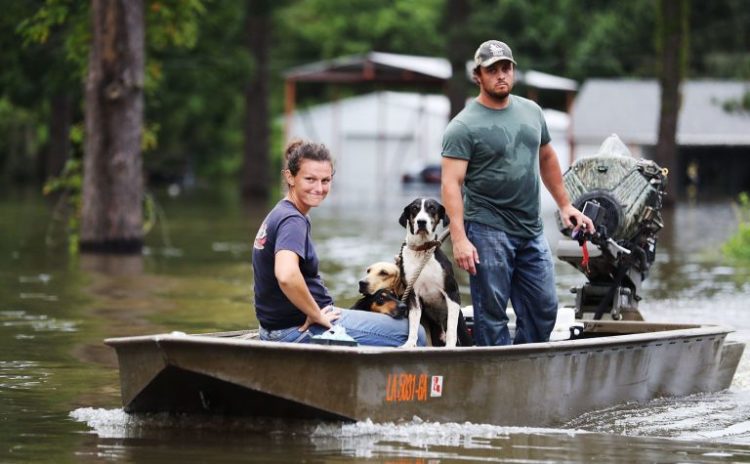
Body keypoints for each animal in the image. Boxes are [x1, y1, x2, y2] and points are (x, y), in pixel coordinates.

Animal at [396, 198, 472, 346]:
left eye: (432, 208)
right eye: (414, 208)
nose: (421, 222)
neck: (422, 250)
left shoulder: (452, 293)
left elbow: (452, 329)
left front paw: (450, 346)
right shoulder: (412, 294)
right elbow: (414, 325)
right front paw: (410, 344)